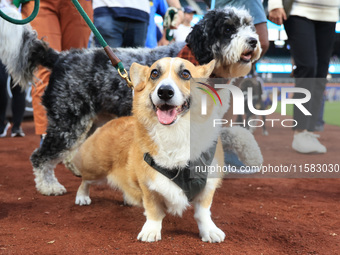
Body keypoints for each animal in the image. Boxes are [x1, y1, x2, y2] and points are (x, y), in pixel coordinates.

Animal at [0, 5, 260, 195]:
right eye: (228, 29)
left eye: (249, 25)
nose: (254, 41)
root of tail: (61, 57)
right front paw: (252, 155)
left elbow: (235, 133)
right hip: (68, 119)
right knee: (41, 156)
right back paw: (48, 185)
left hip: (88, 120)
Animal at [68, 56, 231, 242]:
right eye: (154, 73)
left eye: (185, 73)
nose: (165, 91)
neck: (174, 133)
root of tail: (111, 121)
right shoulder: (149, 186)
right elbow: (154, 211)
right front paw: (151, 231)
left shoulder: (207, 187)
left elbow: (203, 213)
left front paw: (209, 231)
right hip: (97, 170)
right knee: (85, 180)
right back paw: (82, 197)